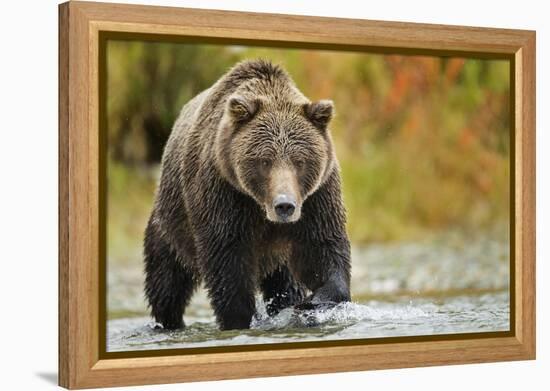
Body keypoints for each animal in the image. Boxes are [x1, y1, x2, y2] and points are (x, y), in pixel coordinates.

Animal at [144, 59, 352, 332]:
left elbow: (323, 249)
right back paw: (169, 322)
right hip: (171, 224)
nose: (284, 205)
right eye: (265, 160)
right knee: (167, 283)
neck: (260, 207)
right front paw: (240, 319)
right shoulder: (223, 194)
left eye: (300, 161)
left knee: (285, 283)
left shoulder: (317, 197)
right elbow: (227, 262)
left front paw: (312, 303)